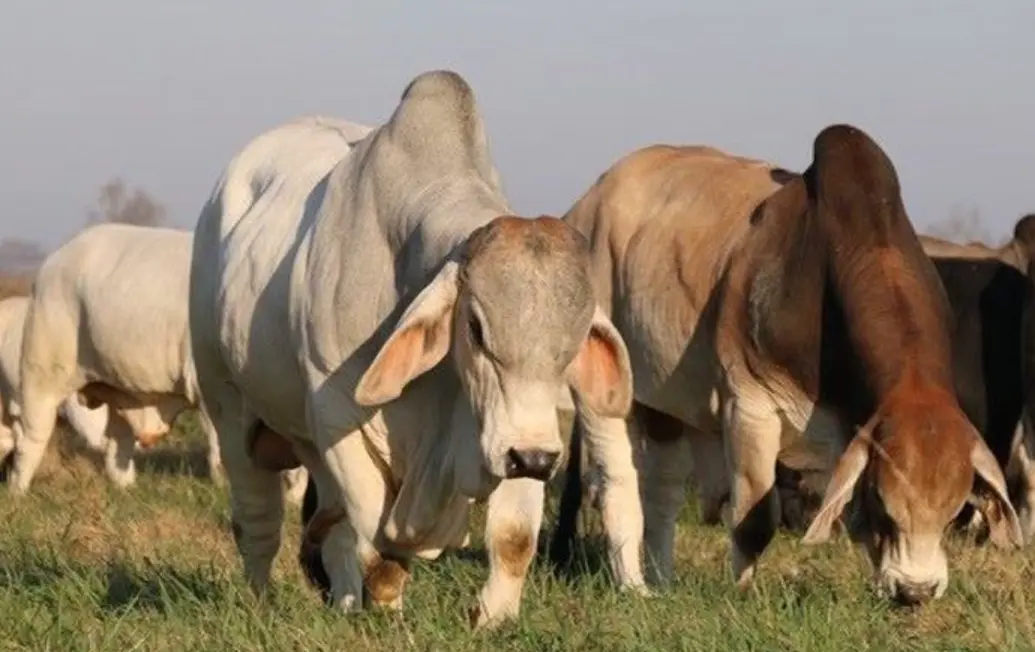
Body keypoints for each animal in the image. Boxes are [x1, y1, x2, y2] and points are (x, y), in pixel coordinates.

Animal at [6, 223, 308, 501]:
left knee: (118, 447)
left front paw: (295, 498)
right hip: (42, 374)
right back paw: (17, 493)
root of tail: (56, 260)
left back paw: (126, 490)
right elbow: (223, 450)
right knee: (31, 441)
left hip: (117, 389)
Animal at [188, 70, 634, 629]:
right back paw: (264, 600)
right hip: (228, 405)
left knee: (332, 528)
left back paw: (344, 599)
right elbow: (379, 542)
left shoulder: (515, 432)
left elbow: (513, 539)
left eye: (572, 344)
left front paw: (493, 618)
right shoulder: (337, 416)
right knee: (259, 519)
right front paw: (387, 606)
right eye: (475, 328)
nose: (531, 455)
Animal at [545, 125, 1022, 606]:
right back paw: (633, 585)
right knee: (617, 482)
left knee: (663, 490)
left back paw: (662, 580)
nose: (915, 590)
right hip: (605, 389)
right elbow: (753, 522)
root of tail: (583, 206)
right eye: (885, 504)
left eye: (953, 509)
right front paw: (740, 593)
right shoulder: (750, 405)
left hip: (665, 402)